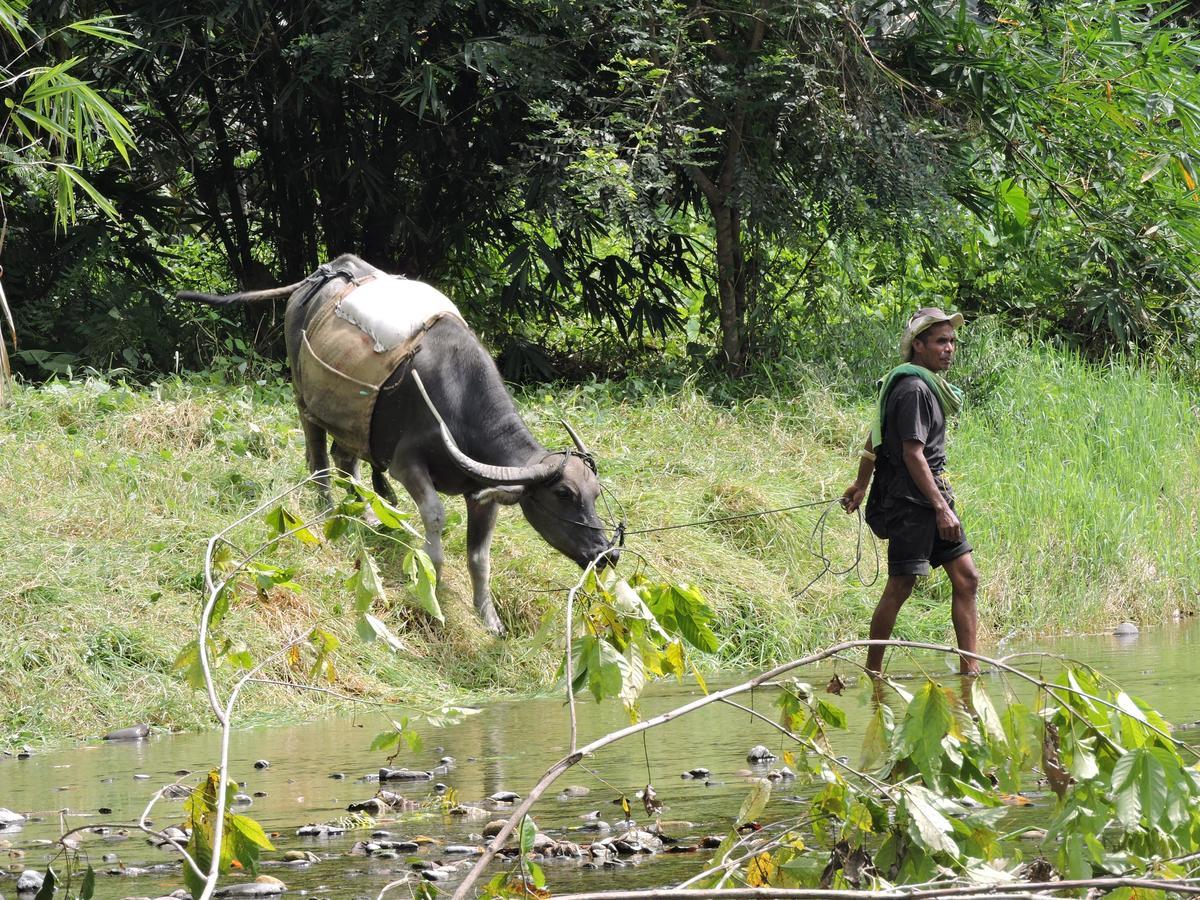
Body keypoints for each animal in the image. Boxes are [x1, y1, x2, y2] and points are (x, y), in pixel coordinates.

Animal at [184, 254, 628, 633]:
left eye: (595, 493)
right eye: (564, 494)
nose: (606, 553)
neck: (458, 400)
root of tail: (320, 275)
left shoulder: (482, 495)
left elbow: (480, 559)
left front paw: (489, 619)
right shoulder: (406, 465)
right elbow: (434, 515)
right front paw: (432, 579)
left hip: (355, 423)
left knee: (347, 460)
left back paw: (366, 515)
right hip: (304, 399)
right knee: (319, 460)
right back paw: (328, 511)